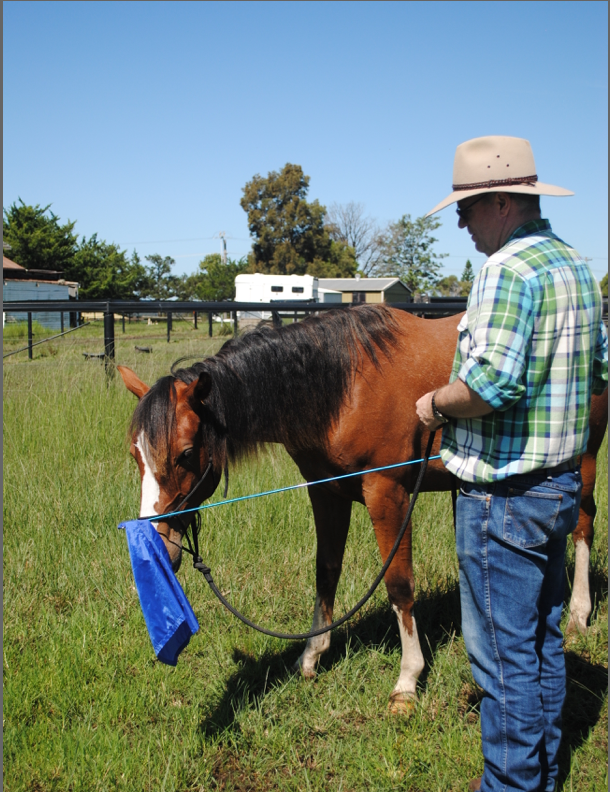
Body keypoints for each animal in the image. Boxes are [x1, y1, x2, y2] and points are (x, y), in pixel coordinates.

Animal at [117, 304, 604, 712]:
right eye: (135, 454)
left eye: (184, 454)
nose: (160, 546)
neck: (341, 387)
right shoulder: (325, 493)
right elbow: (326, 571)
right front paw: (312, 656)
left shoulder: (387, 493)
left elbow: (399, 584)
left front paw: (408, 680)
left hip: (582, 461)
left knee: (582, 527)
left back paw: (579, 613)